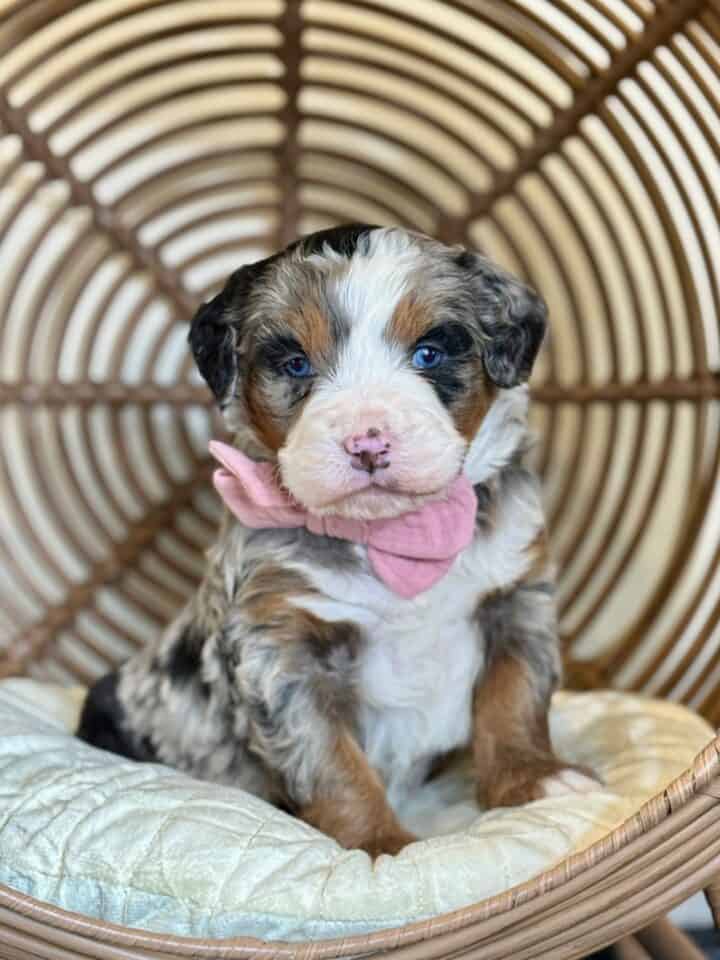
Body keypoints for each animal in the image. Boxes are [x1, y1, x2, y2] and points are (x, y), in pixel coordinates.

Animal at [77, 223, 596, 856]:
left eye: (429, 353)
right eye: (296, 363)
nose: (366, 443)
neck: (390, 534)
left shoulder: (515, 600)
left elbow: (515, 699)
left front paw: (536, 778)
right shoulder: (281, 646)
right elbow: (330, 760)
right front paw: (381, 843)